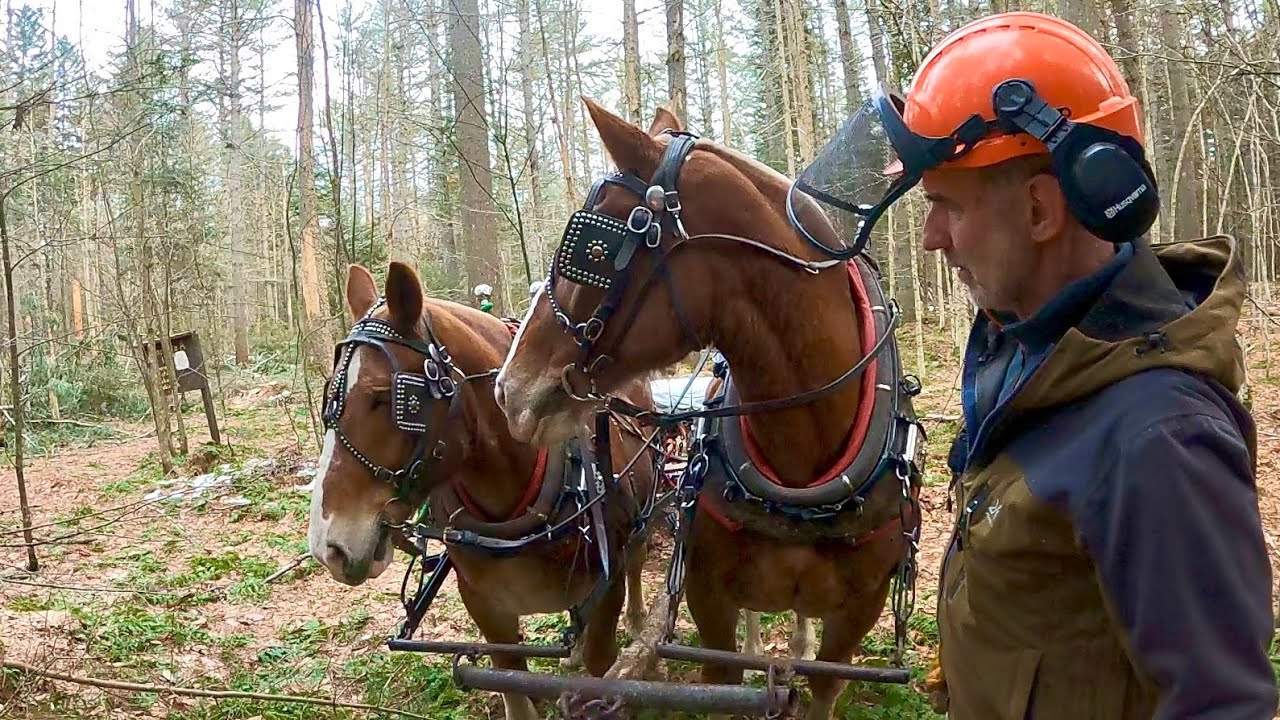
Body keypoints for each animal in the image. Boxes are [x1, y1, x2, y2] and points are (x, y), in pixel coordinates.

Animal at [307, 261, 660, 720]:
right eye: (329, 392)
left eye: (386, 397)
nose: (327, 547)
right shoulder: (486, 607)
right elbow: (513, 683)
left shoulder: (606, 593)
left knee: (637, 557)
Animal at [494, 102, 922, 720]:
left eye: (591, 250)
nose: (509, 389)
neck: (802, 470)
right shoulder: (709, 600)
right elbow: (724, 673)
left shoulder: (857, 615)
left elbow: (823, 684)